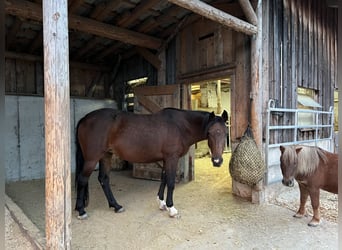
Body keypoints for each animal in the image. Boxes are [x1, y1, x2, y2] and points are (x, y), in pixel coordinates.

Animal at [76, 107, 228, 219]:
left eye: (226, 133)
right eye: (209, 133)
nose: (217, 161)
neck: (180, 126)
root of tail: (84, 119)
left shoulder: (166, 159)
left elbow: (164, 179)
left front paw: (162, 203)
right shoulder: (172, 158)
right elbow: (171, 182)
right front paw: (172, 208)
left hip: (106, 156)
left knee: (104, 179)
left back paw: (116, 206)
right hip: (92, 159)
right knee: (82, 180)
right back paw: (81, 211)